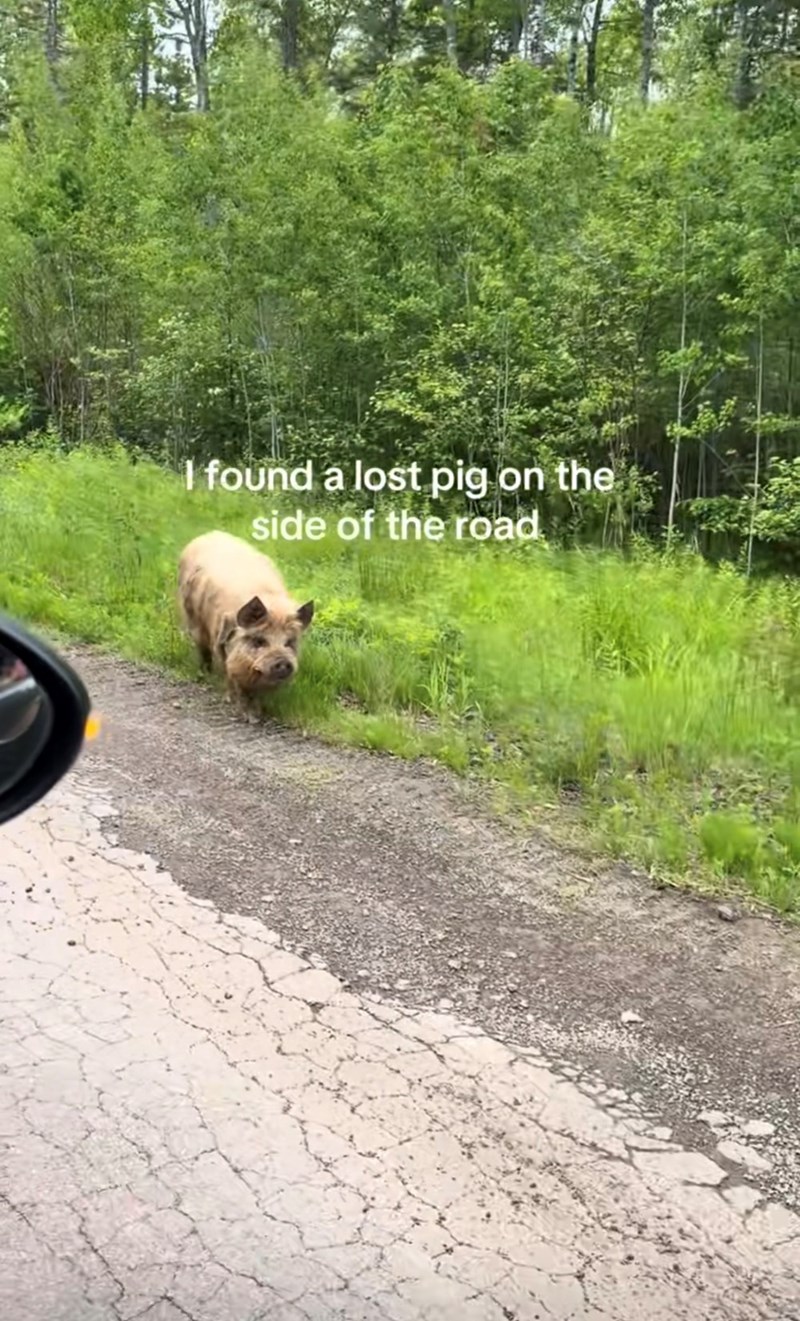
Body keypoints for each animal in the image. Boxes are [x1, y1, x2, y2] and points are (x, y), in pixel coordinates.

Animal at [178, 530, 314, 721]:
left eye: (289, 643)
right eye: (259, 641)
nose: (282, 662)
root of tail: (208, 534)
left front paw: (258, 714)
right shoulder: (222, 645)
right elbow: (233, 677)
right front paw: (246, 714)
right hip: (193, 618)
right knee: (202, 649)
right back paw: (205, 673)